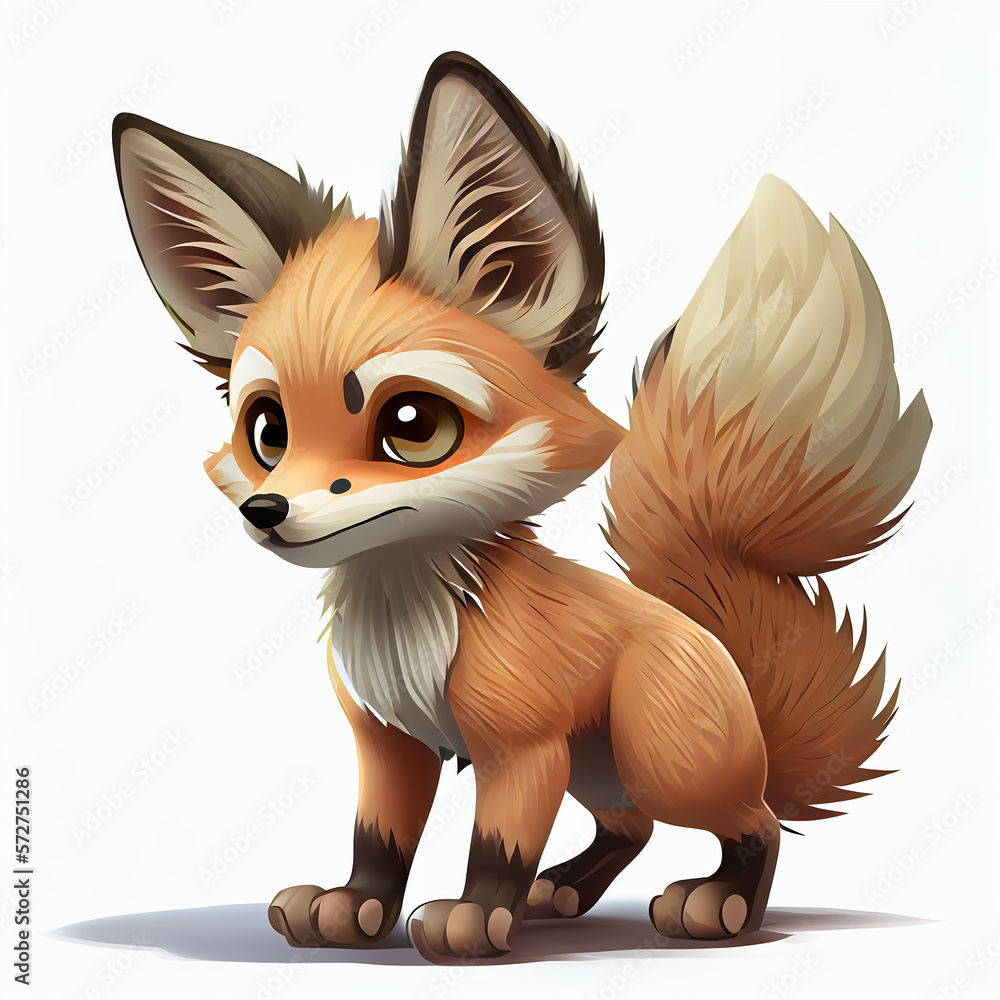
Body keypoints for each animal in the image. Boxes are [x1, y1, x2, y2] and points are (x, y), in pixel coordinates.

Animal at [111, 52, 930, 963]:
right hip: (604, 770)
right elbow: (378, 840)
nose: (266, 510)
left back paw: (717, 902)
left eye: (413, 426)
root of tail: (729, 669)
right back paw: (565, 890)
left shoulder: (523, 746)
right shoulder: (388, 742)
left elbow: (497, 845)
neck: (407, 620)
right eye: (268, 430)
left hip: (656, 752)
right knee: (633, 828)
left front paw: (472, 918)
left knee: (754, 824)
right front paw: (354, 909)